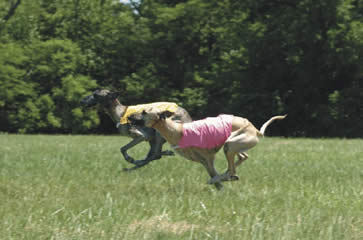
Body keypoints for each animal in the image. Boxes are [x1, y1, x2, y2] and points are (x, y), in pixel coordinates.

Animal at [129, 109, 286, 189]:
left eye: (144, 112)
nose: (129, 116)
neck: (176, 130)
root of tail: (255, 129)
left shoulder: (209, 158)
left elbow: (214, 175)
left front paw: (218, 183)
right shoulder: (203, 161)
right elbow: (213, 174)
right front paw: (221, 186)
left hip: (230, 143)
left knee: (233, 167)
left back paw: (227, 176)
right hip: (235, 144)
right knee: (242, 157)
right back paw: (228, 175)